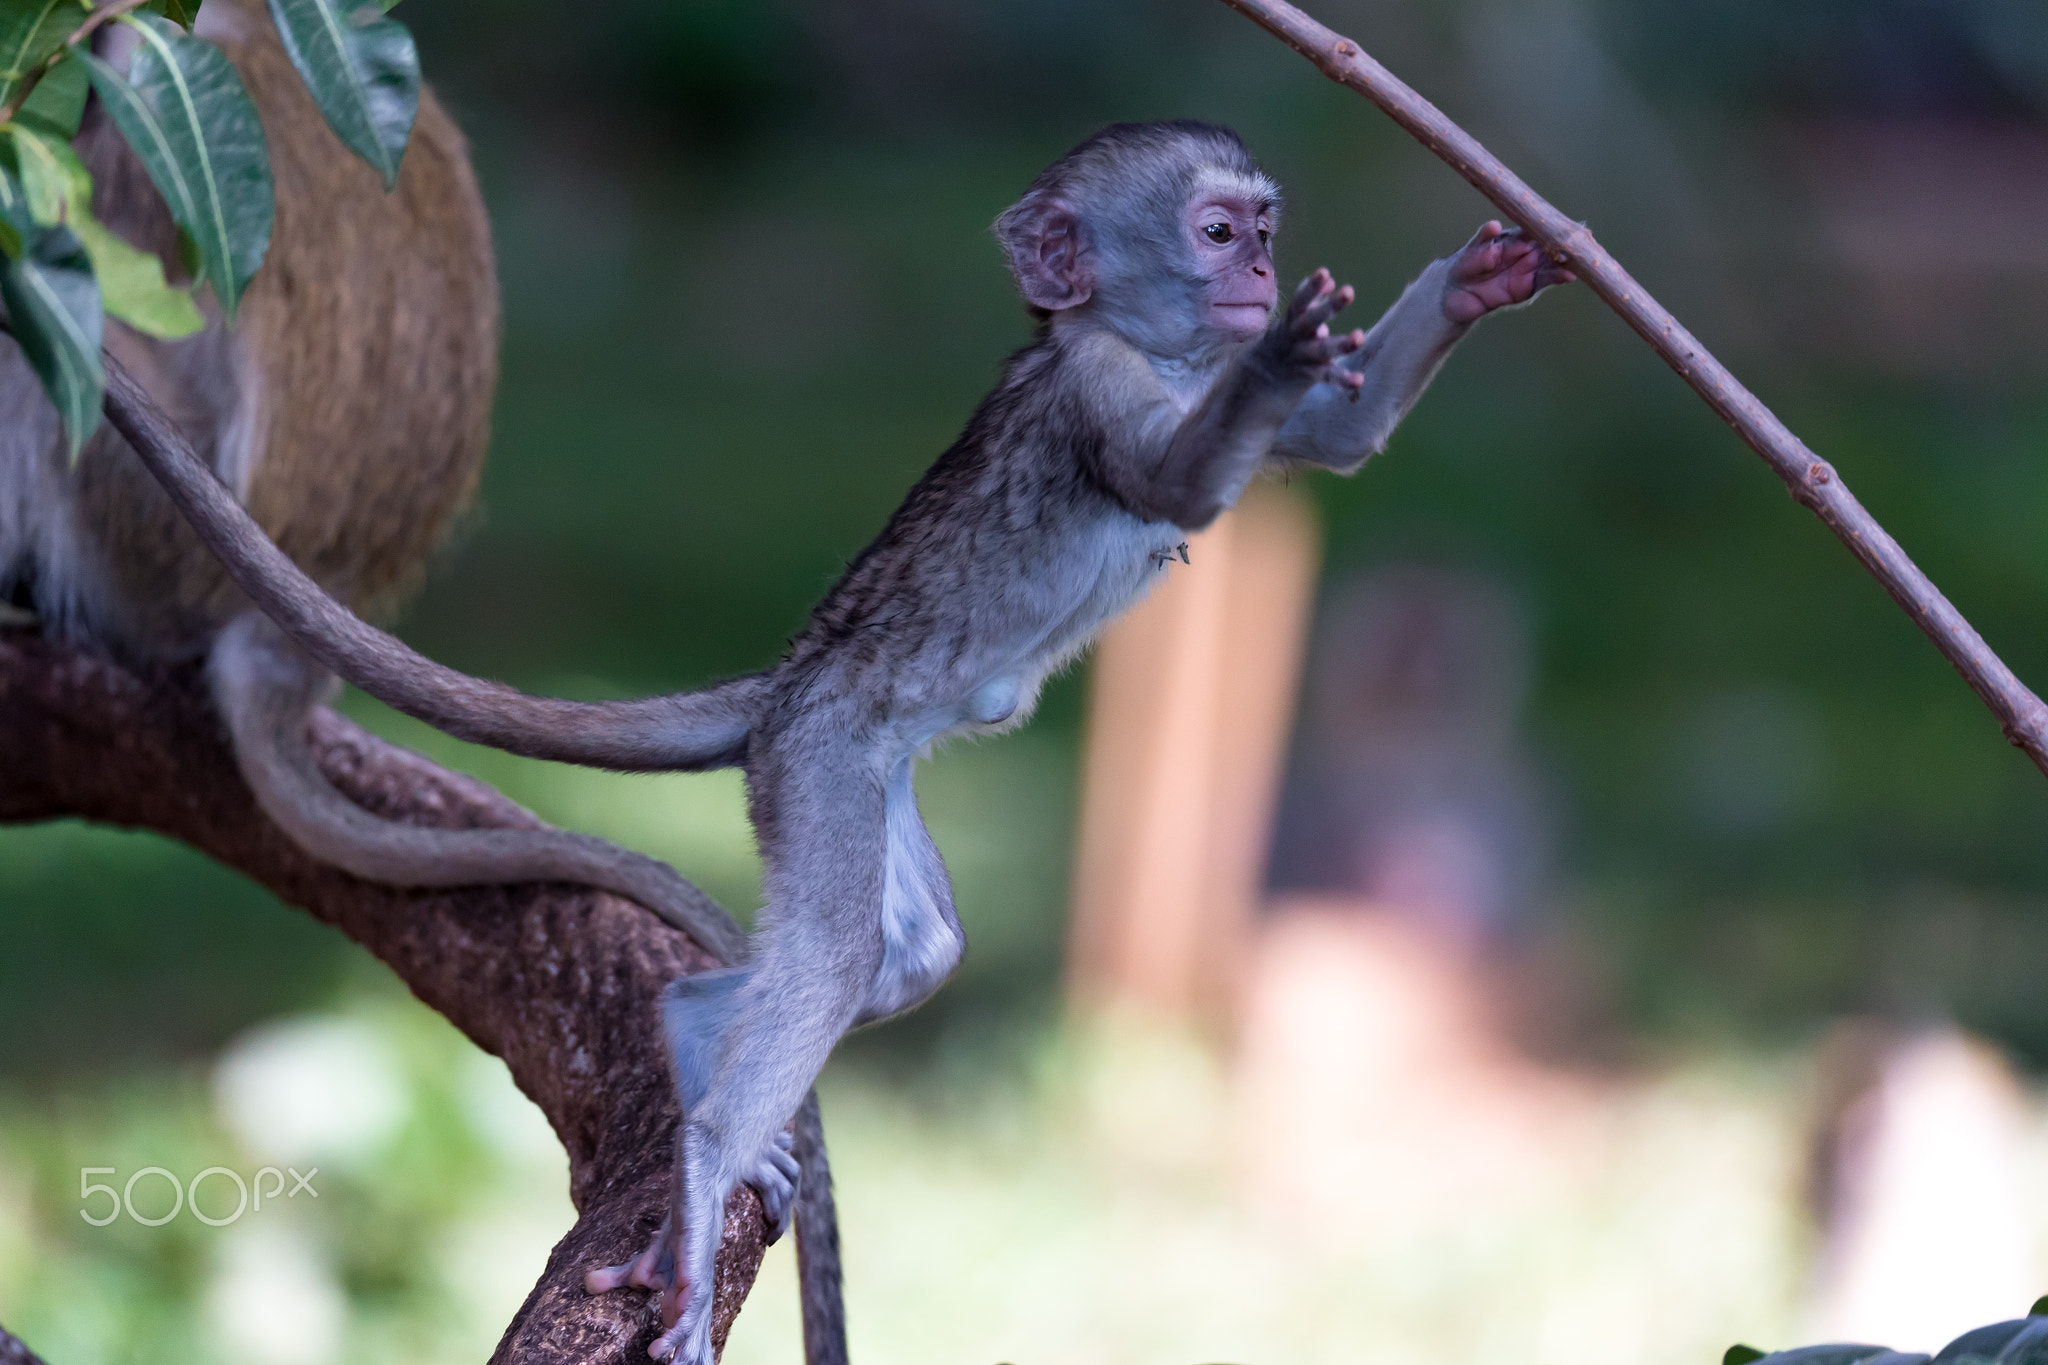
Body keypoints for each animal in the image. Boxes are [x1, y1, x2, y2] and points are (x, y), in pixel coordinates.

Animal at [102, 120, 1572, 1363]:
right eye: (1218, 233)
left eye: (1263, 228)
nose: (1261, 276)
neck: (1153, 354)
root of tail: (791, 681)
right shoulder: (1096, 388)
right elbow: (1171, 482)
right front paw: (1276, 361)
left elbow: (1341, 440)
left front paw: (1477, 280)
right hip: (821, 764)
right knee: (835, 956)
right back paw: (704, 1163)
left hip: (863, 772)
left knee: (908, 954)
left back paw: (699, 1024)